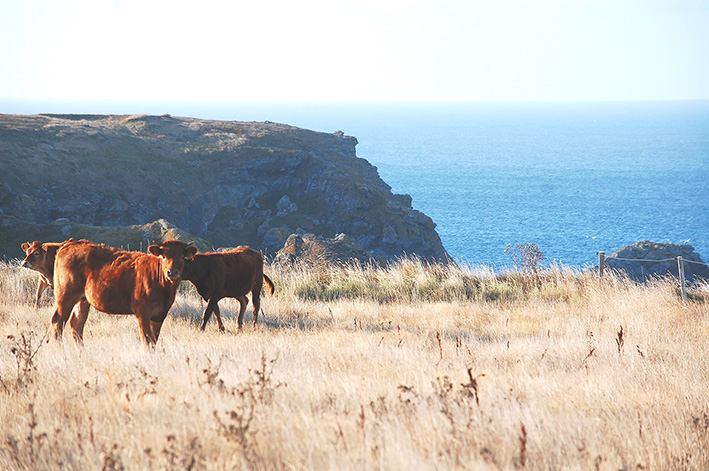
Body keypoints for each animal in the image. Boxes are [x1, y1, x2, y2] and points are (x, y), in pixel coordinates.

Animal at [51, 240, 196, 346]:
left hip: (83, 299)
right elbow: (146, 340)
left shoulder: (160, 315)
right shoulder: (142, 312)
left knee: (77, 323)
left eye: (182, 257)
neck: (164, 290)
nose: (172, 272)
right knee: (58, 321)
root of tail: (70, 243)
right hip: (65, 296)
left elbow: (153, 341)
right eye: (164, 256)